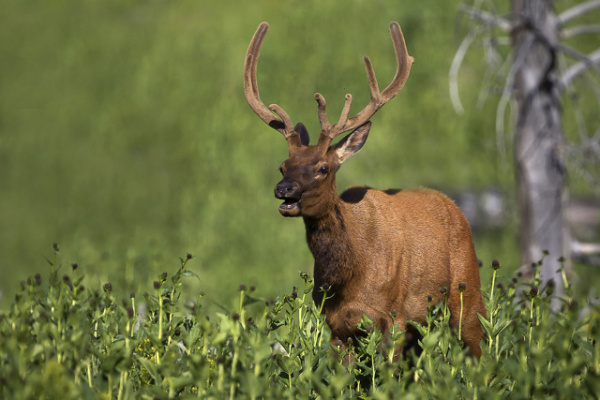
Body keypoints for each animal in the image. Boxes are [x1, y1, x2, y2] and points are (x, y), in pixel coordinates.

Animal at [245, 21, 488, 356]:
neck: (351, 275)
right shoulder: (337, 326)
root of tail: (453, 205)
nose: (284, 189)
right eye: (283, 165)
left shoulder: (394, 315)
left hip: (467, 292)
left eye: (323, 168)